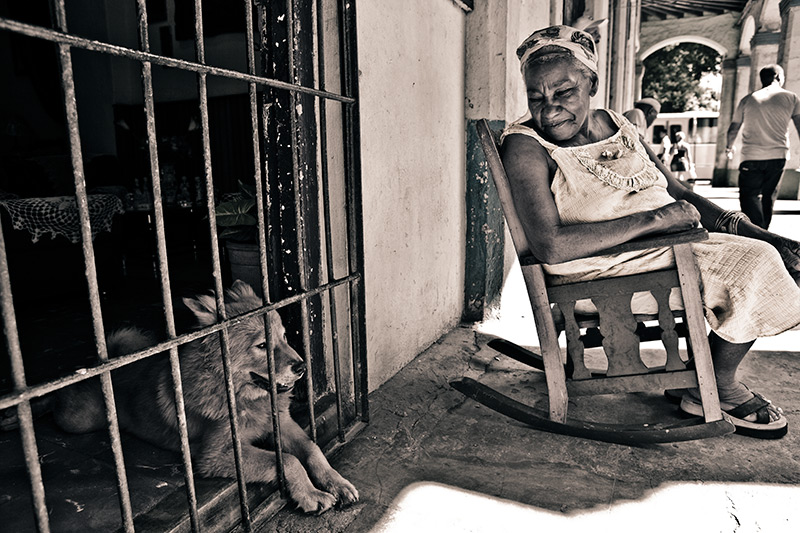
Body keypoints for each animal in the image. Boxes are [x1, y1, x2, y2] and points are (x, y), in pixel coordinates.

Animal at [51, 280, 358, 512]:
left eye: (283, 337)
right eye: (261, 345)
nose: (302, 367)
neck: (243, 398)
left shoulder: (281, 424)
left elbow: (312, 449)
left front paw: (336, 483)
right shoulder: (218, 454)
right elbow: (287, 460)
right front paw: (311, 494)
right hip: (78, 421)